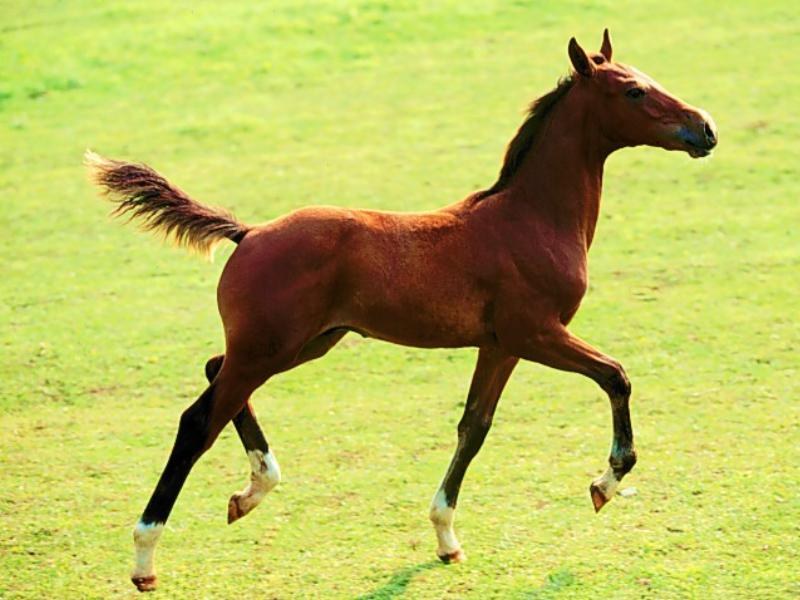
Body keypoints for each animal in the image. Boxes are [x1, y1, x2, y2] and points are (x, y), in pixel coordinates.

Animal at [87, 30, 717, 592]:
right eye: (633, 90)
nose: (705, 128)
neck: (531, 217)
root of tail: (250, 232)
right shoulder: (537, 333)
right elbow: (616, 376)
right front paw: (606, 482)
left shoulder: (499, 345)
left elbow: (474, 426)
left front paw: (446, 538)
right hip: (271, 347)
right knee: (198, 420)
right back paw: (146, 556)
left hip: (302, 343)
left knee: (216, 372)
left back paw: (252, 490)